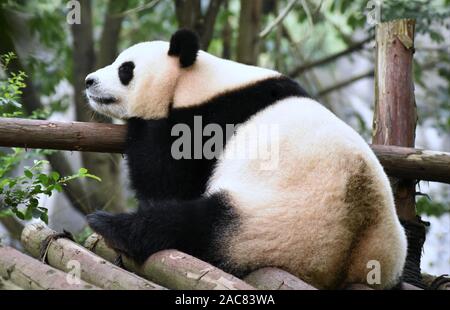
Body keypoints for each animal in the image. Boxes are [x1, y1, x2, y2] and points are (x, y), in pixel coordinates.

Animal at [84, 28, 408, 288]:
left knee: (194, 224)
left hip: (276, 225)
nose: (89, 81)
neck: (196, 80)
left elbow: (165, 180)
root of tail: (350, 261)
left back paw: (110, 225)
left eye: (125, 69)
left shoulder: (207, 123)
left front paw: (139, 123)